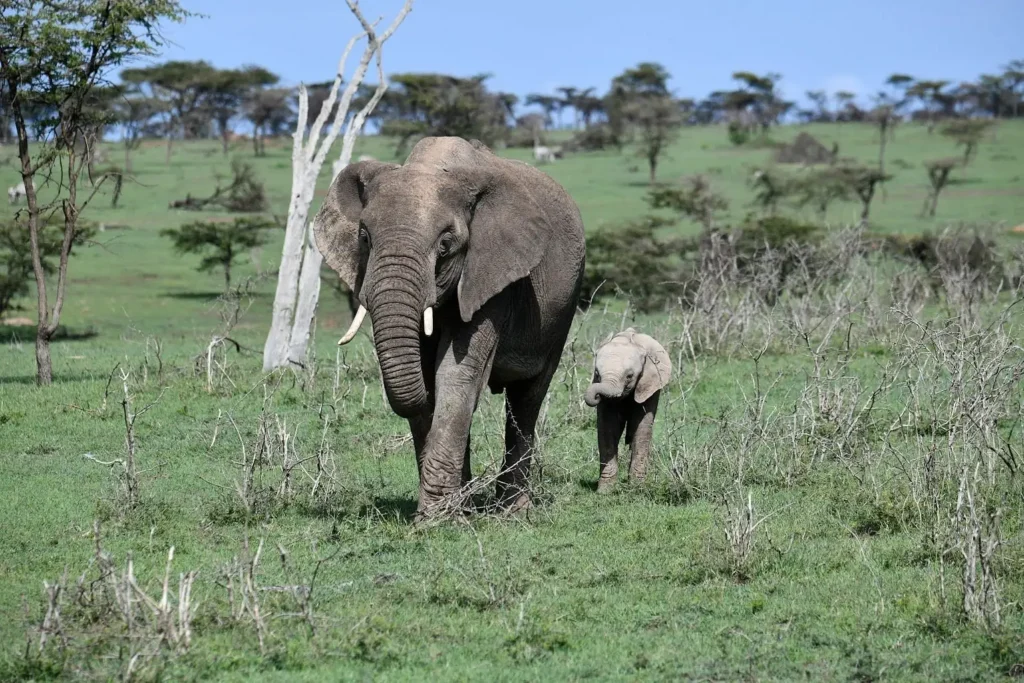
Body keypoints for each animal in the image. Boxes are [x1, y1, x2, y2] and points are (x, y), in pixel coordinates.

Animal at [312, 136, 586, 518]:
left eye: (445, 245)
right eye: (364, 238)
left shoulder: (492, 271)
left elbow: (455, 374)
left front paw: (435, 521)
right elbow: (429, 377)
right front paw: (450, 514)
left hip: (563, 309)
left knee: (527, 398)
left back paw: (512, 511)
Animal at [584, 328, 672, 492]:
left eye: (629, 376)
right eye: (597, 373)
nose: (597, 396)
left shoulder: (648, 383)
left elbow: (642, 428)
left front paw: (637, 488)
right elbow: (608, 428)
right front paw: (605, 491)